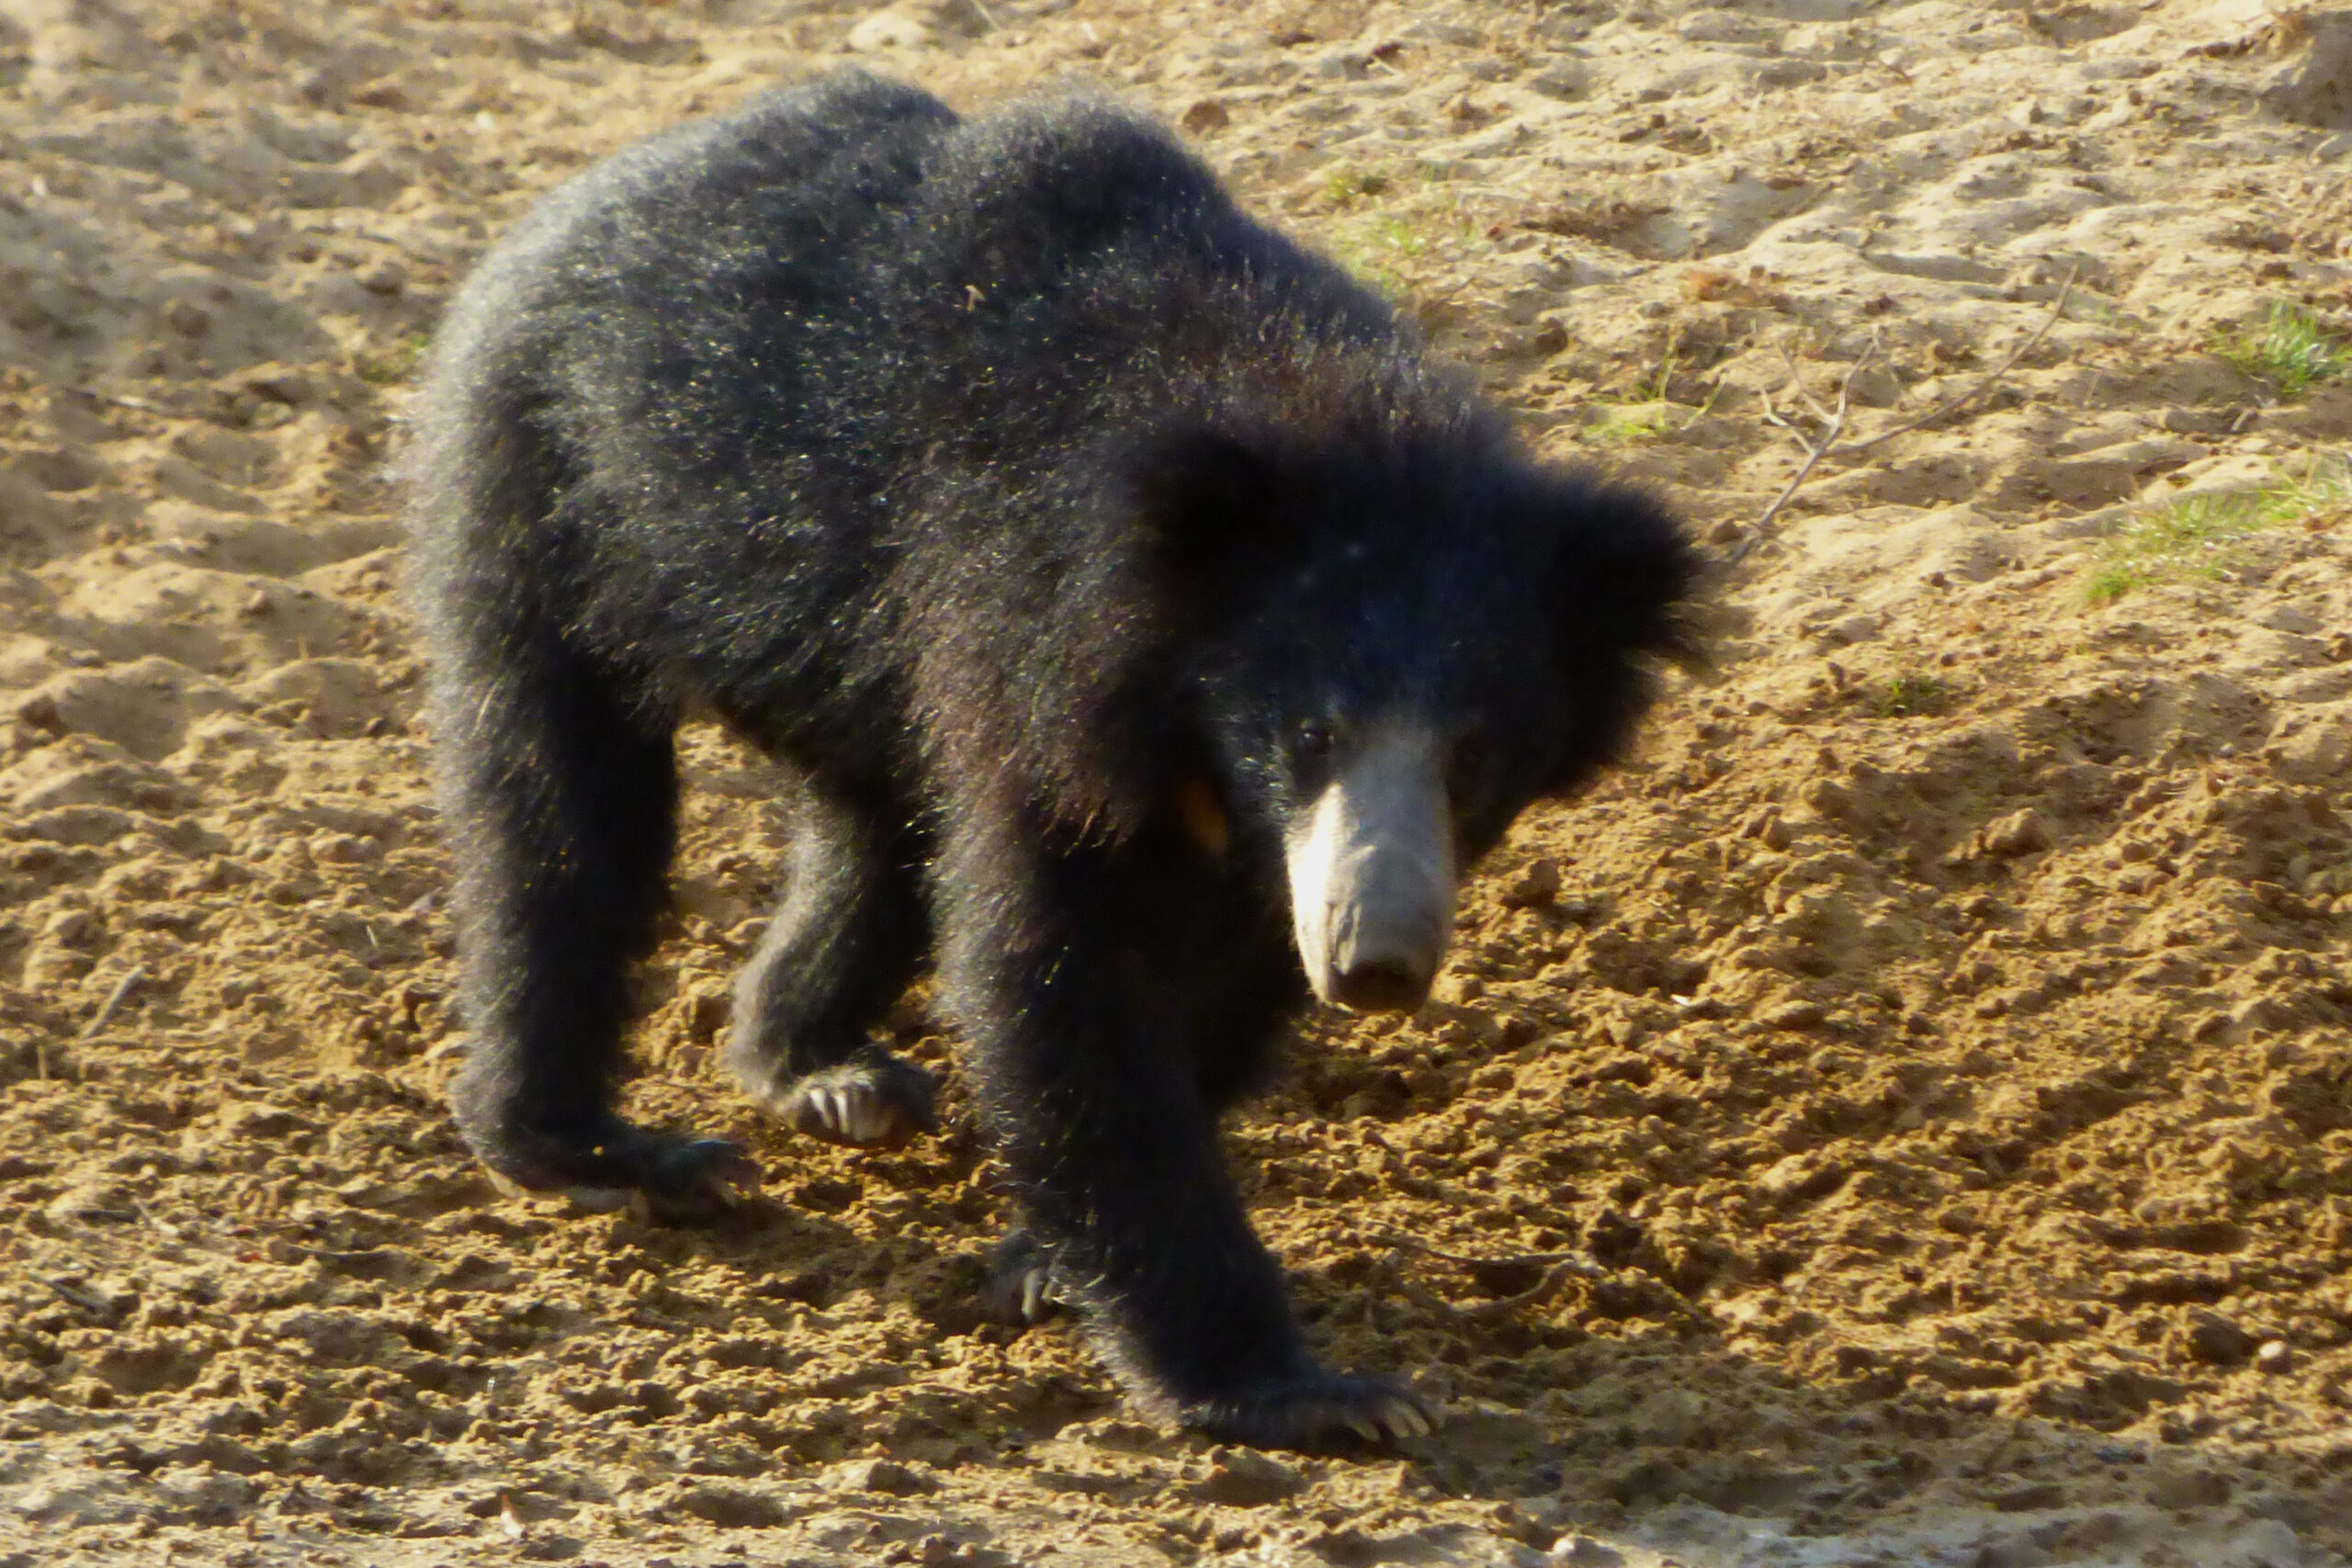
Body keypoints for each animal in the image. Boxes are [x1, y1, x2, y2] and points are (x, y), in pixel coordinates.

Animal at [405, 67, 1695, 1451]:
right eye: (1310, 734)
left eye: (1473, 755)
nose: (1376, 963)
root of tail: (588, 194)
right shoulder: (1027, 635)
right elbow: (1057, 971)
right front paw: (1309, 1392)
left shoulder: (1250, 837)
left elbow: (1224, 976)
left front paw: (1044, 1255)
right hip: (550, 491)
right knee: (563, 812)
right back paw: (598, 1144)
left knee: (874, 832)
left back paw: (819, 1068)